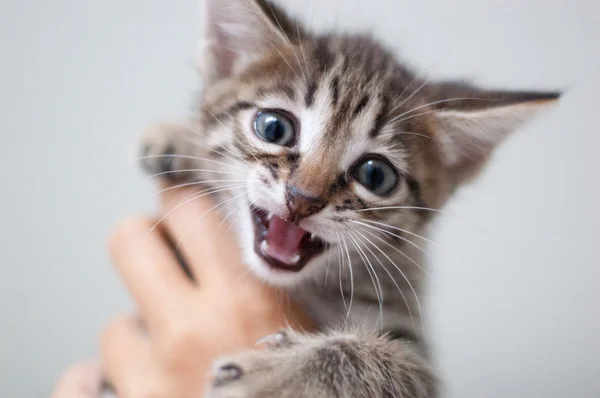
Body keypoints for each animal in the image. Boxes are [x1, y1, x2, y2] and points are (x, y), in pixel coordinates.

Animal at [143, 1, 560, 396]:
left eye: (376, 175)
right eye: (274, 128)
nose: (301, 199)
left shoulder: (414, 346)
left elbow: (378, 358)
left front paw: (278, 377)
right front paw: (180, 139)